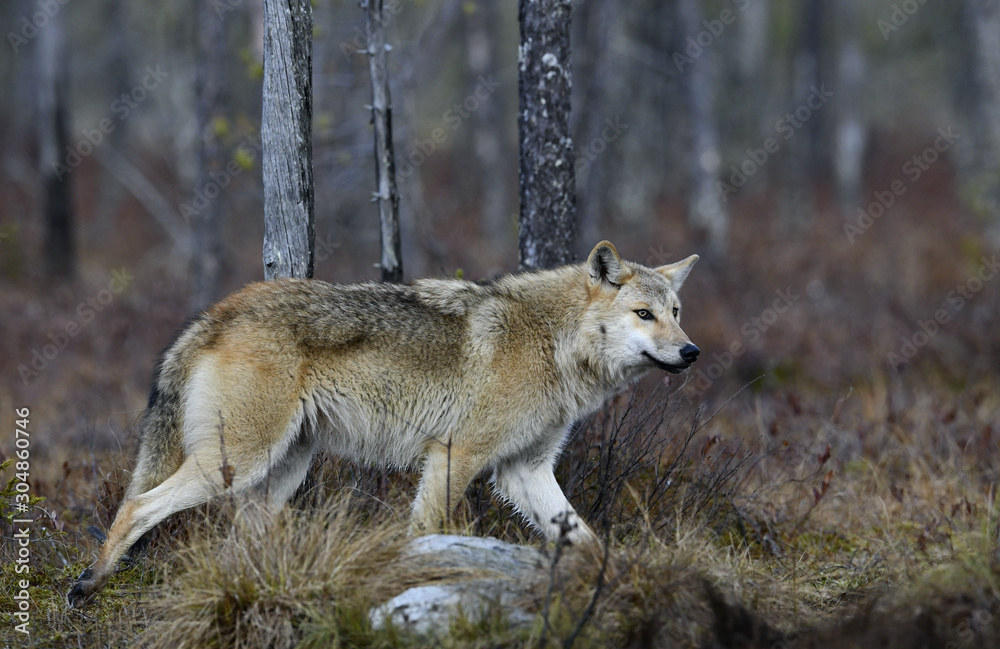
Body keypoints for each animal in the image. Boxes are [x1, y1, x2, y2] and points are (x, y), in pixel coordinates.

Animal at [66, 240, 700, 604]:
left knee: (235, 537)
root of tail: (215, 314)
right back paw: (88, 586)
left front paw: (612, 582)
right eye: (643, 314)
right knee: (135, 506)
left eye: (675, 312)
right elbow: (427, 531)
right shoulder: (455, 455)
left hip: (280, 471)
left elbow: (587, 540)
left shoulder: (526, 472)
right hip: (236, 464)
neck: (554, 342)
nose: (692, 352)